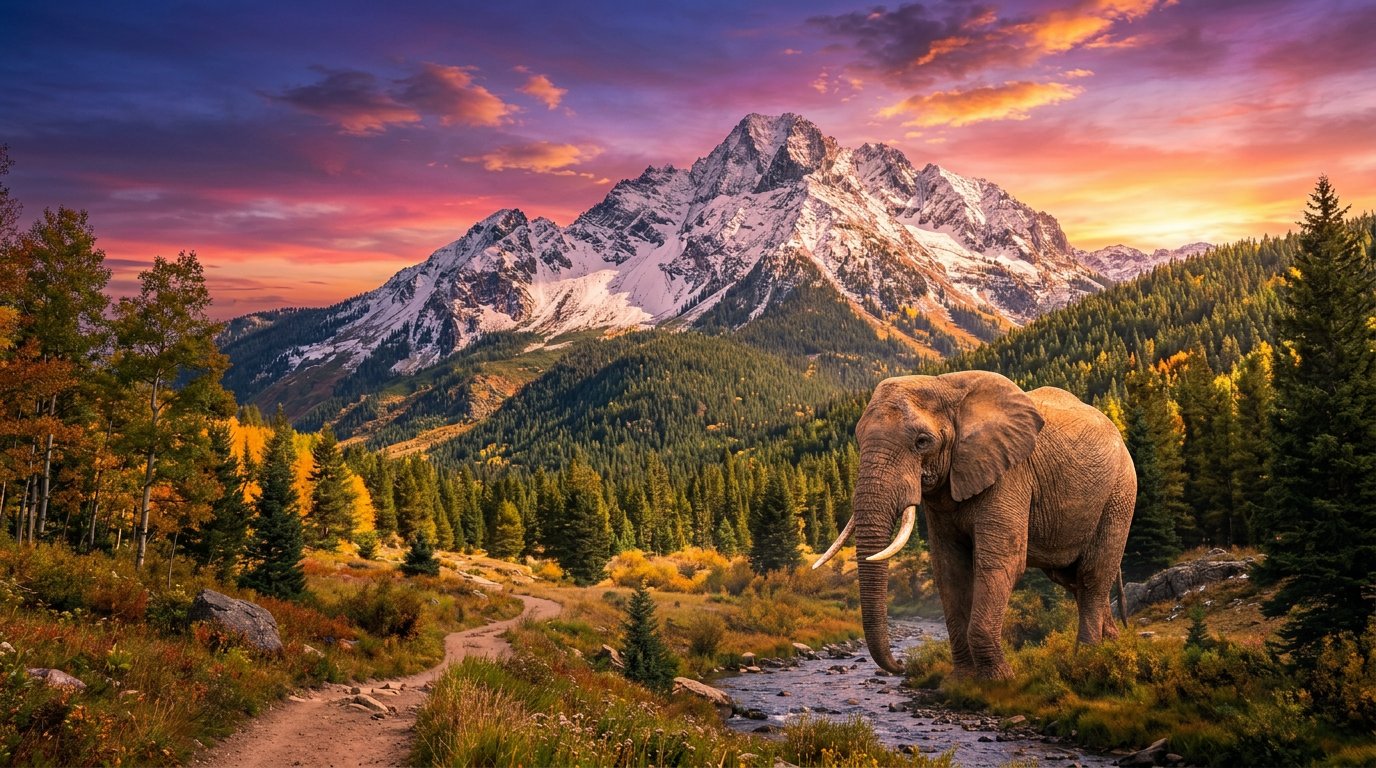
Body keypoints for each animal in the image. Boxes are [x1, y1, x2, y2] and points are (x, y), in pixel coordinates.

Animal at [813, 370, 1136, 680]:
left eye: (922, 442)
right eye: (858, 439)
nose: (901, 665)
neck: (944, 386)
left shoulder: (1010, 474)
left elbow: (1000, 562)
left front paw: (999, 681)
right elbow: (949, 569)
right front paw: (963, 680)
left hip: (1119, 494)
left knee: (1092, 576)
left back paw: (1086, 660)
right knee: (1072, 580)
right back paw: (1112, 645)